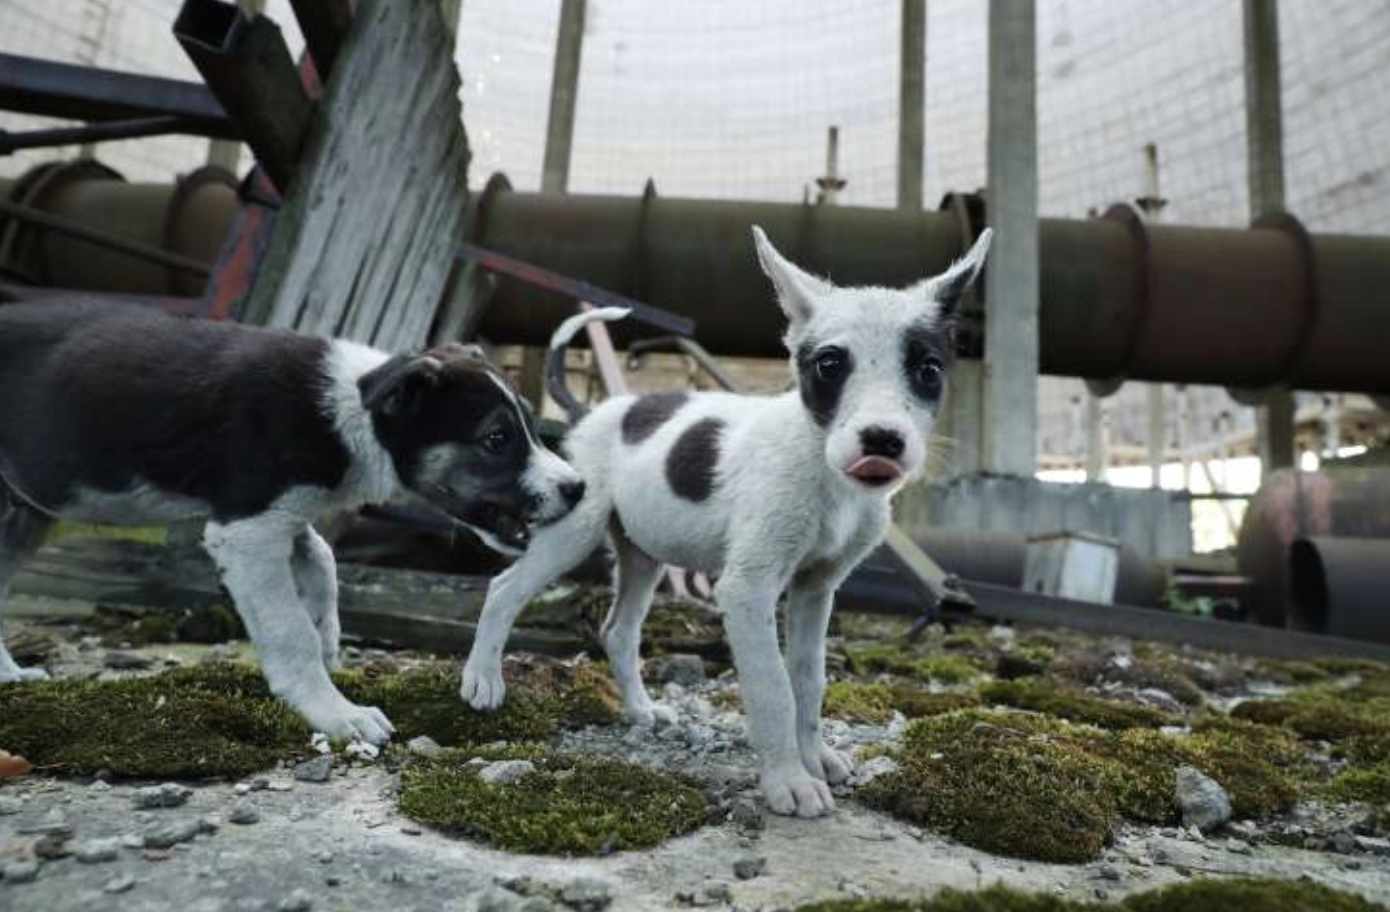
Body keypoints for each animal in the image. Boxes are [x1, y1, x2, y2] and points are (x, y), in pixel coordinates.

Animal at [0, 298, 583, 739]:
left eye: (531, 427)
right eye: (496, 438)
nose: (577, 489)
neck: (353, 412)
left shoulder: (283, 511)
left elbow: (322, 558)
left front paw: (328, 635)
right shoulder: (247, 528)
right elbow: (288, 629)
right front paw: (335, 712)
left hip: (23, 514)